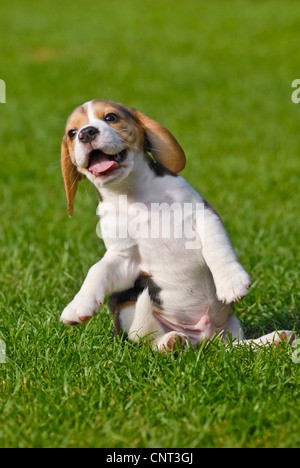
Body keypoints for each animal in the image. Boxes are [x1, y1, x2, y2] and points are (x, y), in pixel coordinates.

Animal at [59, 99, 294, 352]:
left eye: (110, 117)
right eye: (72, 133)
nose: (86, 133)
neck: (134, 194)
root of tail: (202, 341)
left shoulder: (203, 215)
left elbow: (217, 248)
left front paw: (231, 282)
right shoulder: (124, 257)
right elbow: (97, 270)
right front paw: (78, 305)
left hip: (230, 329)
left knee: (238, 346)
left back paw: (274, 339)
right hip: (126, 307)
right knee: (151, 341)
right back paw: (171, 342)